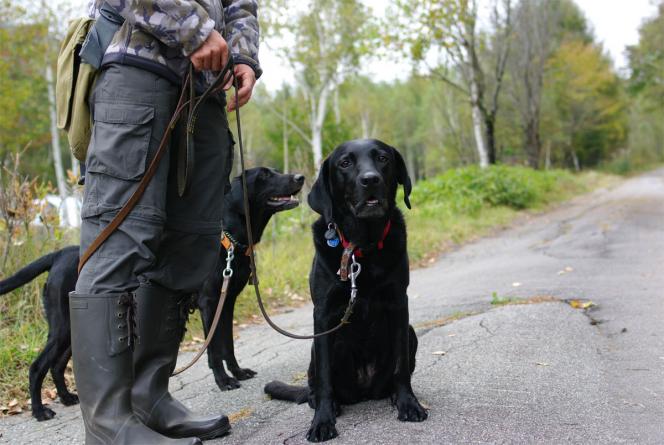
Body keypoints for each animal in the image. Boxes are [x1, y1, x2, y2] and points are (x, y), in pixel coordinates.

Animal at [0, 166, 304, 420]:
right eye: (264, 175)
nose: (300, 177)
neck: (228, 242)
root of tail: (59, 254)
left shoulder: (226, 304)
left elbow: (228, 345)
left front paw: (239, 372)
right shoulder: (209, 304)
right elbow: (214, 350)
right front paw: (224, 381)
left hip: (73, 329)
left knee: (57, 364)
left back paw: (65, 398)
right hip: (62, 325)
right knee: (38, 366)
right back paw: (40, 411)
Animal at [266, 140, 430, 440]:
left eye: (382, 158)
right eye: (345, 163)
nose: (370, 179)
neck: (362, 247)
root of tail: (363, 391)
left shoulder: (399, 304)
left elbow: (401, 367)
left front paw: (408, 403)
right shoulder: (323, 314)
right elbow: (324, 379)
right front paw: (322, 421)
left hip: (410, 332)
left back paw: (391, 395)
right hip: (316, 347)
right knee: (315, 387)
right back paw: (328, 404)